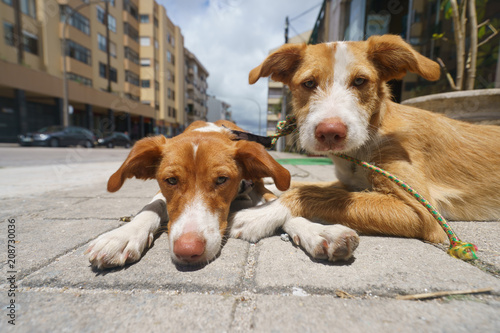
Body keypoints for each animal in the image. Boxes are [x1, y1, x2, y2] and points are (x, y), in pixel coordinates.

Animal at [229, 33, 500, 254]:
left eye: (360, 81)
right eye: (308, 83)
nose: (330, 133)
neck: (365, 145)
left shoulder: (422, 211)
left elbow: (313, 193)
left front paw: (263, 213)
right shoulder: (348, 182)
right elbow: (310, 185)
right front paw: (269, 189)